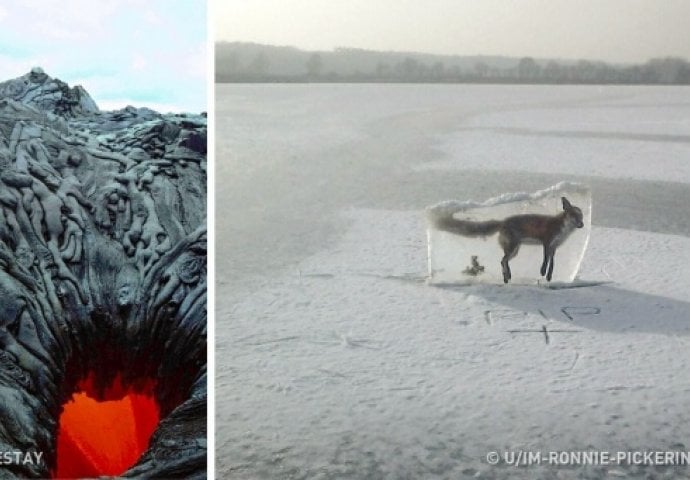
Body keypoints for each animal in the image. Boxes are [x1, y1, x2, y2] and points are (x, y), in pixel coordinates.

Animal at [430, 197, 580, 284]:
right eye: (574, 215)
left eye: (581, 216)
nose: (582, 225)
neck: (563, 230)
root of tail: (503, 221)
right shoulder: (546, 242)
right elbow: (545, 261)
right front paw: (543, 272)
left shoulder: (554, 247)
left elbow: (552, 263)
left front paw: (549, 277)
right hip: (513, 248)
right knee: (502, 260)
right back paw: (506, 277)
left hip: (515, 250)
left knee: (503, 261)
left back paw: (508, 277)